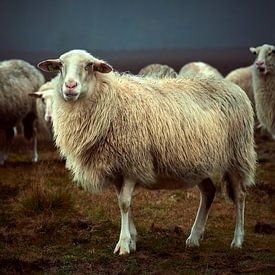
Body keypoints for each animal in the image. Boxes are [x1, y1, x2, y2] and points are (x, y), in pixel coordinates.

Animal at [37, 49, 258, 256]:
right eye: (60, 65)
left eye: (89, 65)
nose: (70, 86)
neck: (109, 100)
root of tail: (232, 86)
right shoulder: (117, 167)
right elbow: (124, 203)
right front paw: (133, 240)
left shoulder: (132, 162)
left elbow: (124, 203)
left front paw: (124, 244)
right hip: (199, 163)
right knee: (209, 192)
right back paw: (194, 237)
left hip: (238, 155)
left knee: (240, 195)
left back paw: (237, 240)